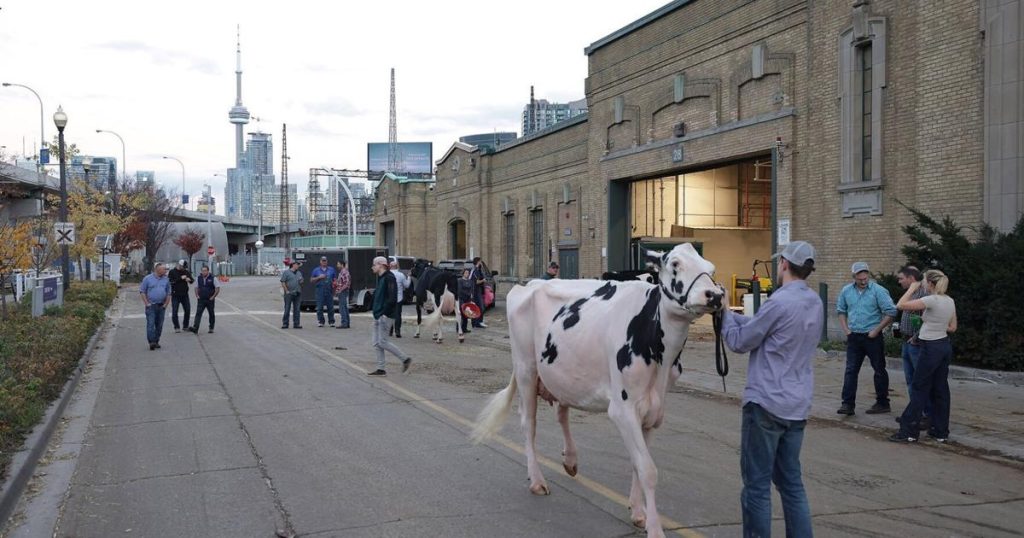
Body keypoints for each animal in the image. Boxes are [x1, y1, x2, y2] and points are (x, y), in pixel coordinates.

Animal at [468, 242, 720, 536]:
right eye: (675, 264)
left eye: (711, 268)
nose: (715, 295)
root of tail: (528, 284)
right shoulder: (623, 409)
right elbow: (648, 470)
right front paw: (655, 528)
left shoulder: (653, 410)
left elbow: (638, 464)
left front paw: (638, 512)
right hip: (526, 368)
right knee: (528, 424)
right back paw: (537, 480)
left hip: (563, 375)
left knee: (562, 413)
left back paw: (570, 460)